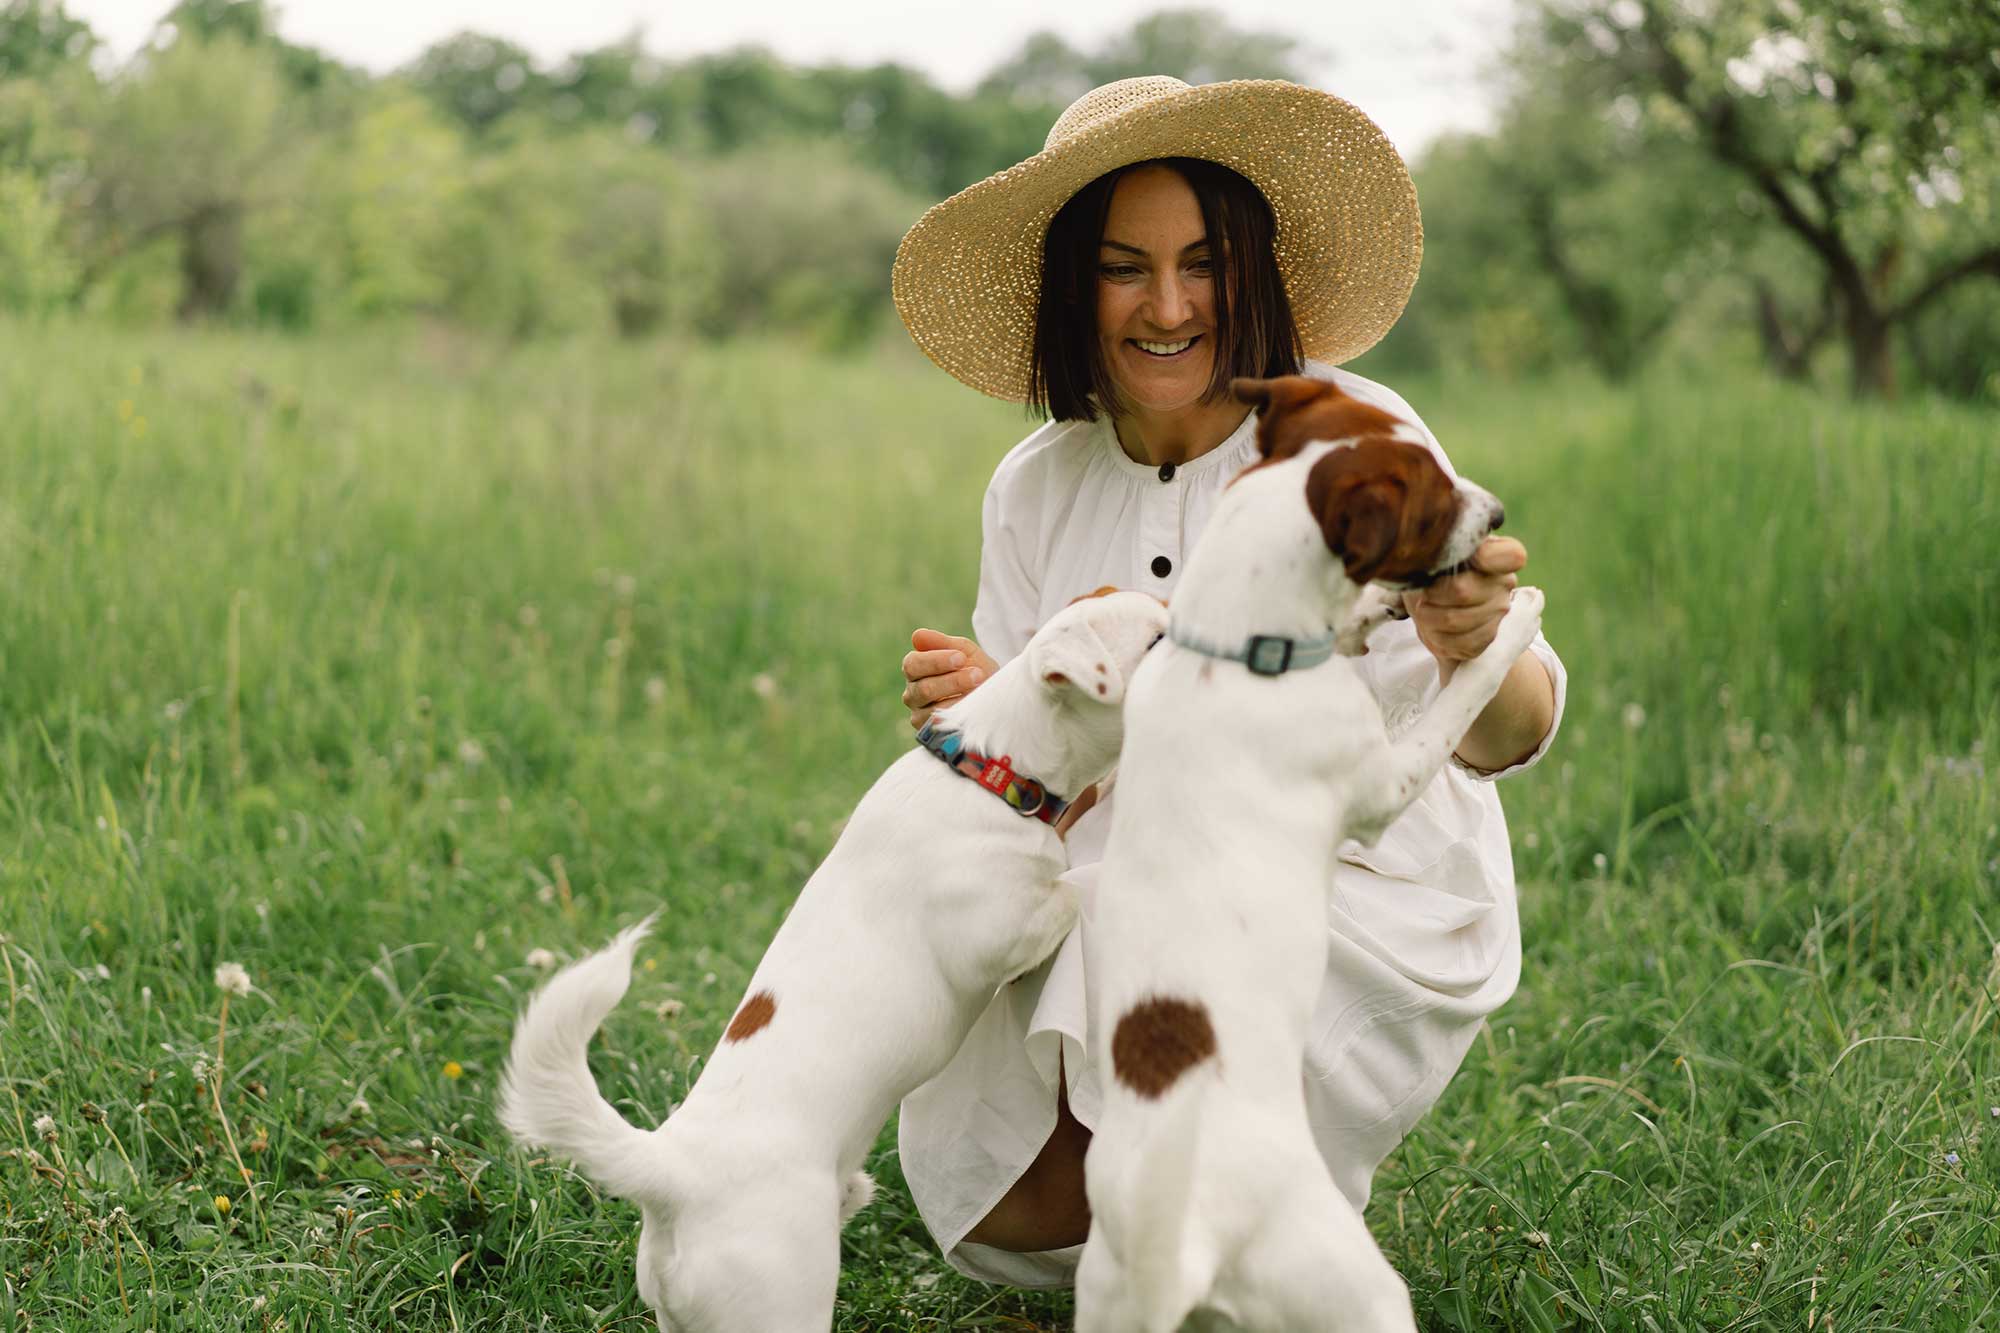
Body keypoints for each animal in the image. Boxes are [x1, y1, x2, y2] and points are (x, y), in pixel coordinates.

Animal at [494, 588, 1168, 1328]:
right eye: (1157, 641)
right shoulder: (1001, 928)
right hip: (782, 1301)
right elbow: (1068, 891)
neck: (989, 772)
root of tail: (673, 1172)